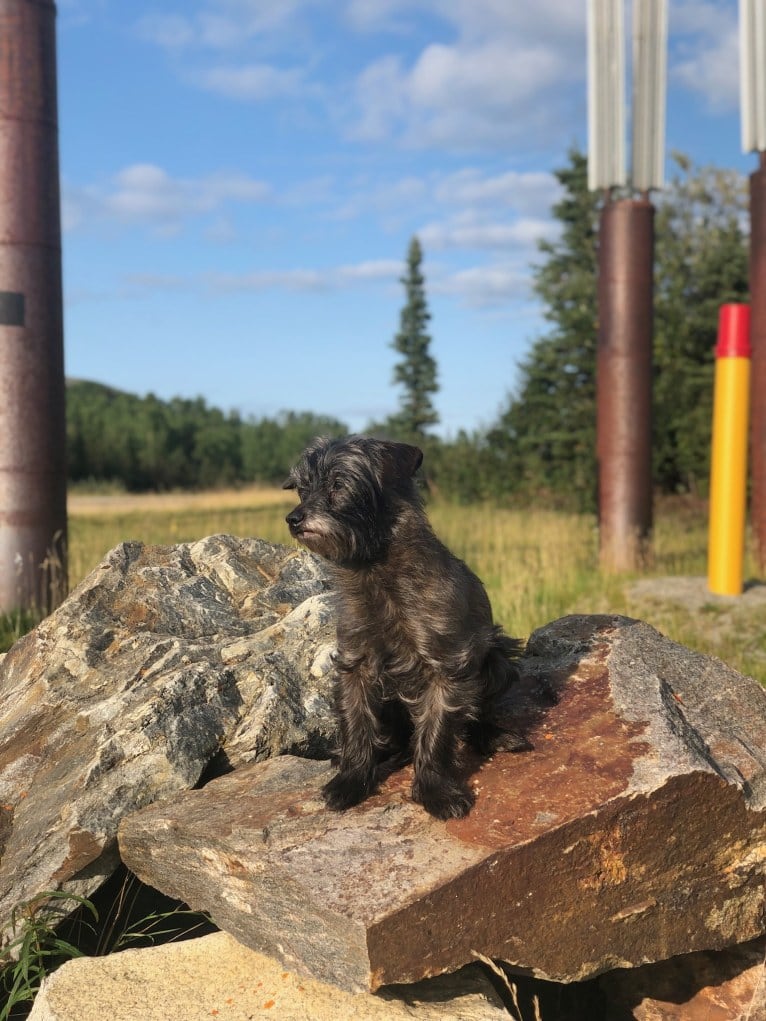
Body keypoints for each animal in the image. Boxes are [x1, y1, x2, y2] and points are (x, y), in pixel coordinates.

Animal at [285, 434, 527, 816]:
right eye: (301, 488)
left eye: (338, 484)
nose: (293, 519)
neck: (376, 569)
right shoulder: (355, 665)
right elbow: (357, 725)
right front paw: (352, 778)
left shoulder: (446, 668)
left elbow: (436, 734)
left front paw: (435, 790)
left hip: (497, 660)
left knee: (473, 716)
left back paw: (493, 735)